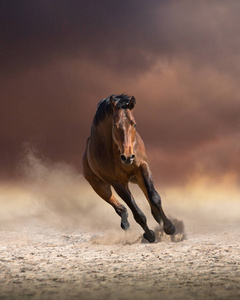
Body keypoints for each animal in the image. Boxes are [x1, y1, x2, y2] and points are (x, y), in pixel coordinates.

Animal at [82, 95, 174, 243]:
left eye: (134, 124)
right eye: (115, 125)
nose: (127, 157)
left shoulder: (143, 167)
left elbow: (155, 198)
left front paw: (170, 227)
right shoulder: (117, 183)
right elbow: (137, 213)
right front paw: (149, 235)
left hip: (138, 179)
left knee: (149, 203)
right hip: (101, 188)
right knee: (120, 208)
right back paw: (127, 226)